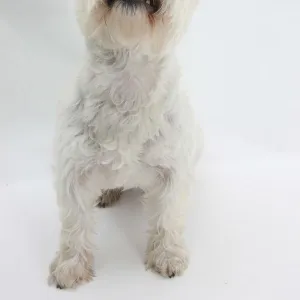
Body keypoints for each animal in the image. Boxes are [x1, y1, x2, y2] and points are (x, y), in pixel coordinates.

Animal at [48, 0, 199, 290]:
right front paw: (70, 266)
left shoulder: (173, 166)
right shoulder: (73, 168)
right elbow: (75, 223)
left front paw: (167, 256)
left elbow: (168, 214)